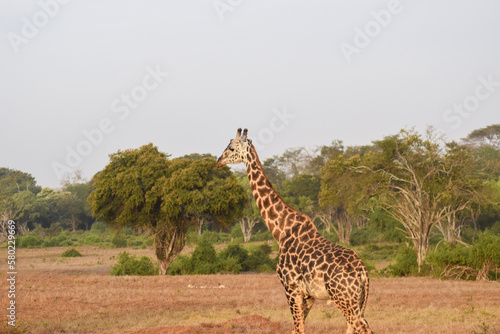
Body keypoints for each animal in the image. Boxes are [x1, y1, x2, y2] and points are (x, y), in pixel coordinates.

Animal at [217, 128, 374, 334]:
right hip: (356, 301)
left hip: (344, 299)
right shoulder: (309, 295)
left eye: (231, 148)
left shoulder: (290, 287)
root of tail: (363, 272)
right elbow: (297, 328)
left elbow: (298, 329)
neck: (281, 231)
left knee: (363, 327)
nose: (218, 161)